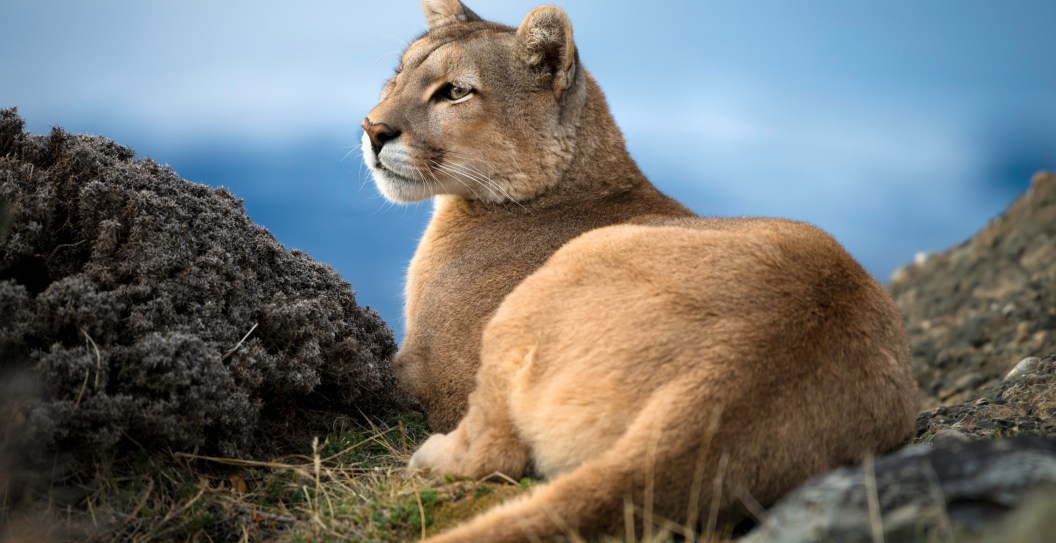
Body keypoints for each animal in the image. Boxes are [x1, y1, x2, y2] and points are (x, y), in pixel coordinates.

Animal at [360, 1, 919, 541]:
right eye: (397, 74)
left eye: (455, 92)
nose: (372, 129)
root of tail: (725, 383)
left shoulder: (429, 372)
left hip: (540, 296)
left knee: (493, 452)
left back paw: (429, 453)